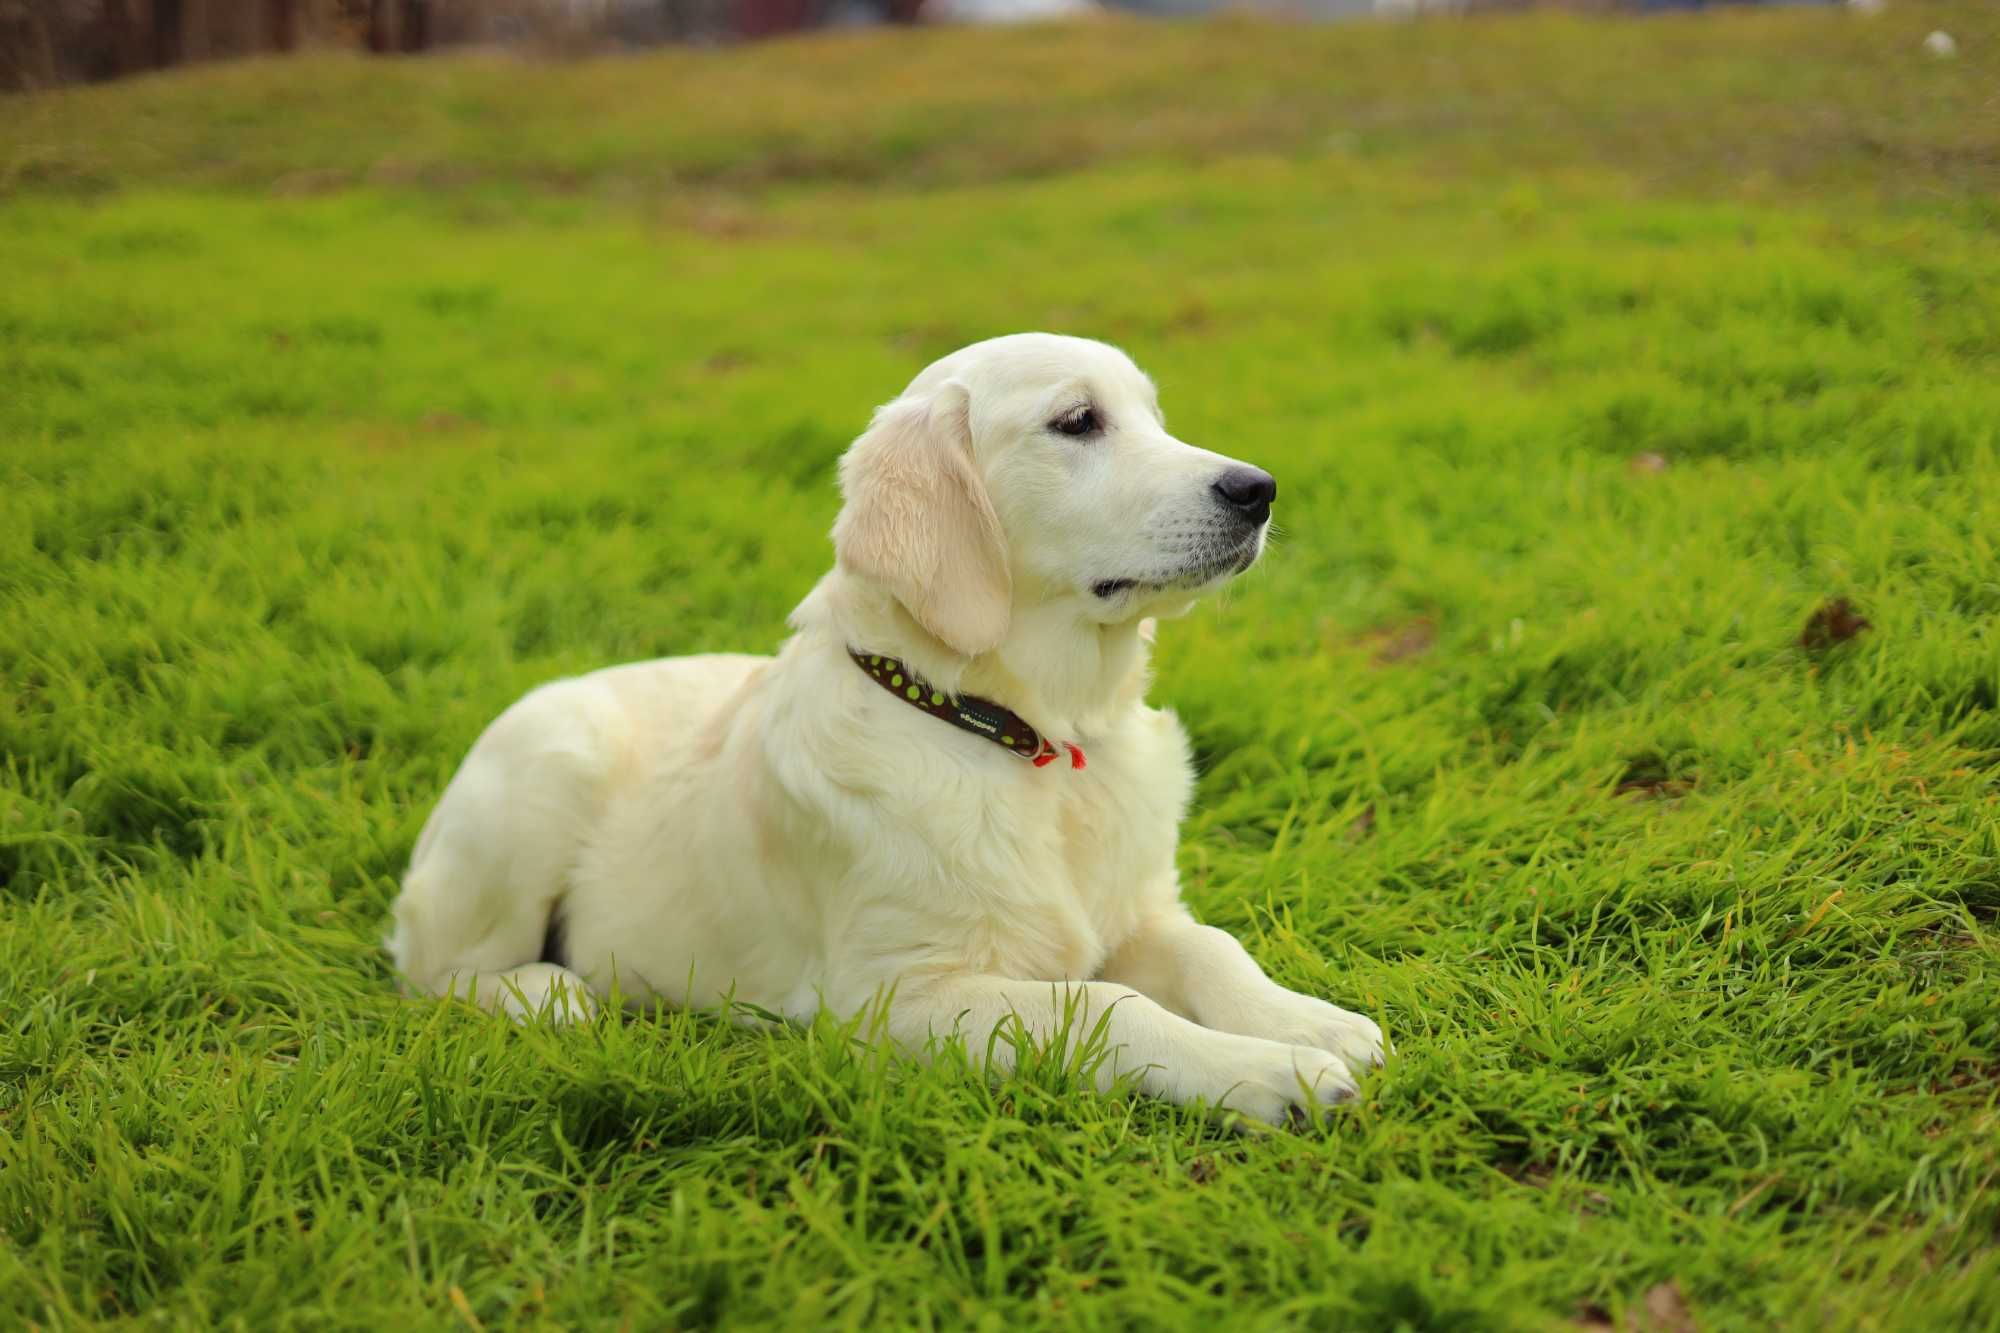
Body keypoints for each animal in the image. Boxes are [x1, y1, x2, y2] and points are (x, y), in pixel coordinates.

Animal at [390, 334, 1392, 1120]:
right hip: (544, 768)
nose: (1259, 489)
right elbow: (1107, 1004)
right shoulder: (893, 997)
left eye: (1153, 415)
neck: (1026, 736)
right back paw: (548, 993)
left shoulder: (1137, 910)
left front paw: (1312, 1021)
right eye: (1077, 422)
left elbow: (1212, 949)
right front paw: (1275, 1072)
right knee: (436, 968)